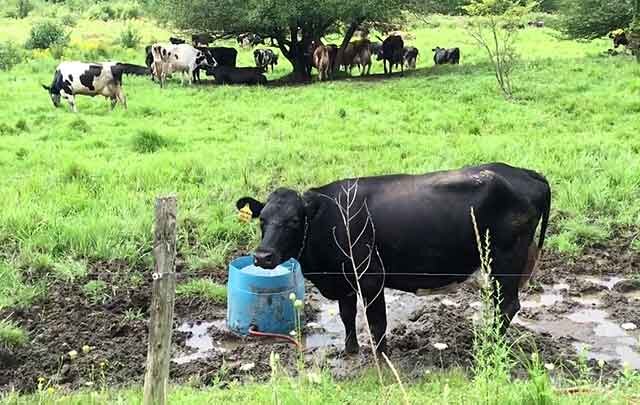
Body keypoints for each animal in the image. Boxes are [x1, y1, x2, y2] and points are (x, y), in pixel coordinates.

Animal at [235, 163, 552, 352]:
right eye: (262, 220)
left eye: (293, 222)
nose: (262, 256)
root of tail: (524, 172)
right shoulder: (345, 280)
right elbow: (347, 316)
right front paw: (350, 350)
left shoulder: (371, 278)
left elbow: (376, 322)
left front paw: (381, 357)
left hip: (505, 261)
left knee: (508, 305)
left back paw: (492, 344)